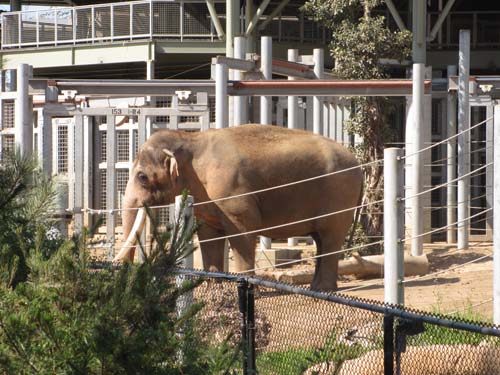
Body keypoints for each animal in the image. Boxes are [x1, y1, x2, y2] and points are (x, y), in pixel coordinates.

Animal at [114, 123, 364, 290]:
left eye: (142, 177)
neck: (191, 139)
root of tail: (358, 165)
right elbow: (209, 234)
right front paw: (212, 282)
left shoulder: (233, 192)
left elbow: (243, 230)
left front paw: (244, 283)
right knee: (321, 240)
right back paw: (316, 288)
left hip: (339, 196)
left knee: (330, 238)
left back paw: (321, 290)